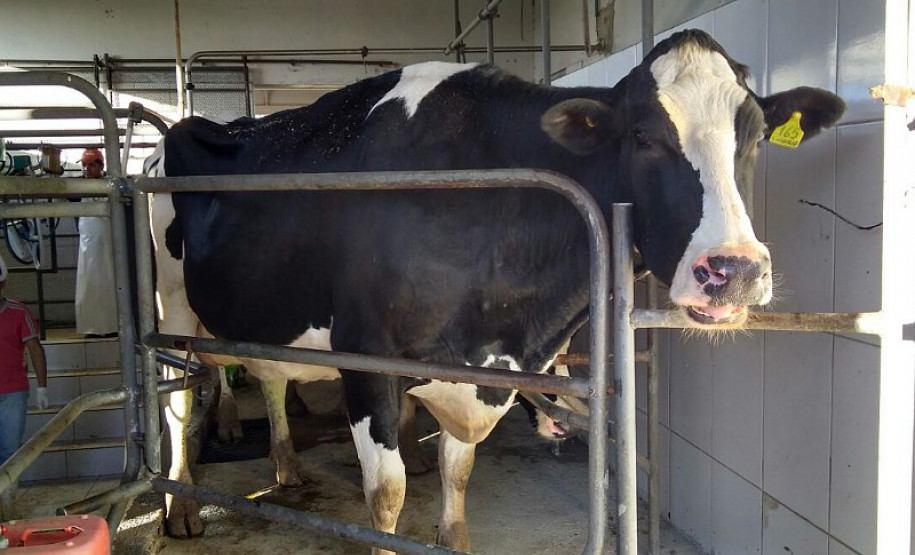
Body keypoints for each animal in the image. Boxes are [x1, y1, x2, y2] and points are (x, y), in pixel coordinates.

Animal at [146, 29, 843, 553]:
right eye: (644, 136)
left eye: (755, 136)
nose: (736, 270)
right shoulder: (365, 355)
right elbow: (386, 495)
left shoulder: (478, 368)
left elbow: (457, 473)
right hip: (170, 309)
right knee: (178, 400)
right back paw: (178, 507)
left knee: (267, 377)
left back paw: (285, 465)